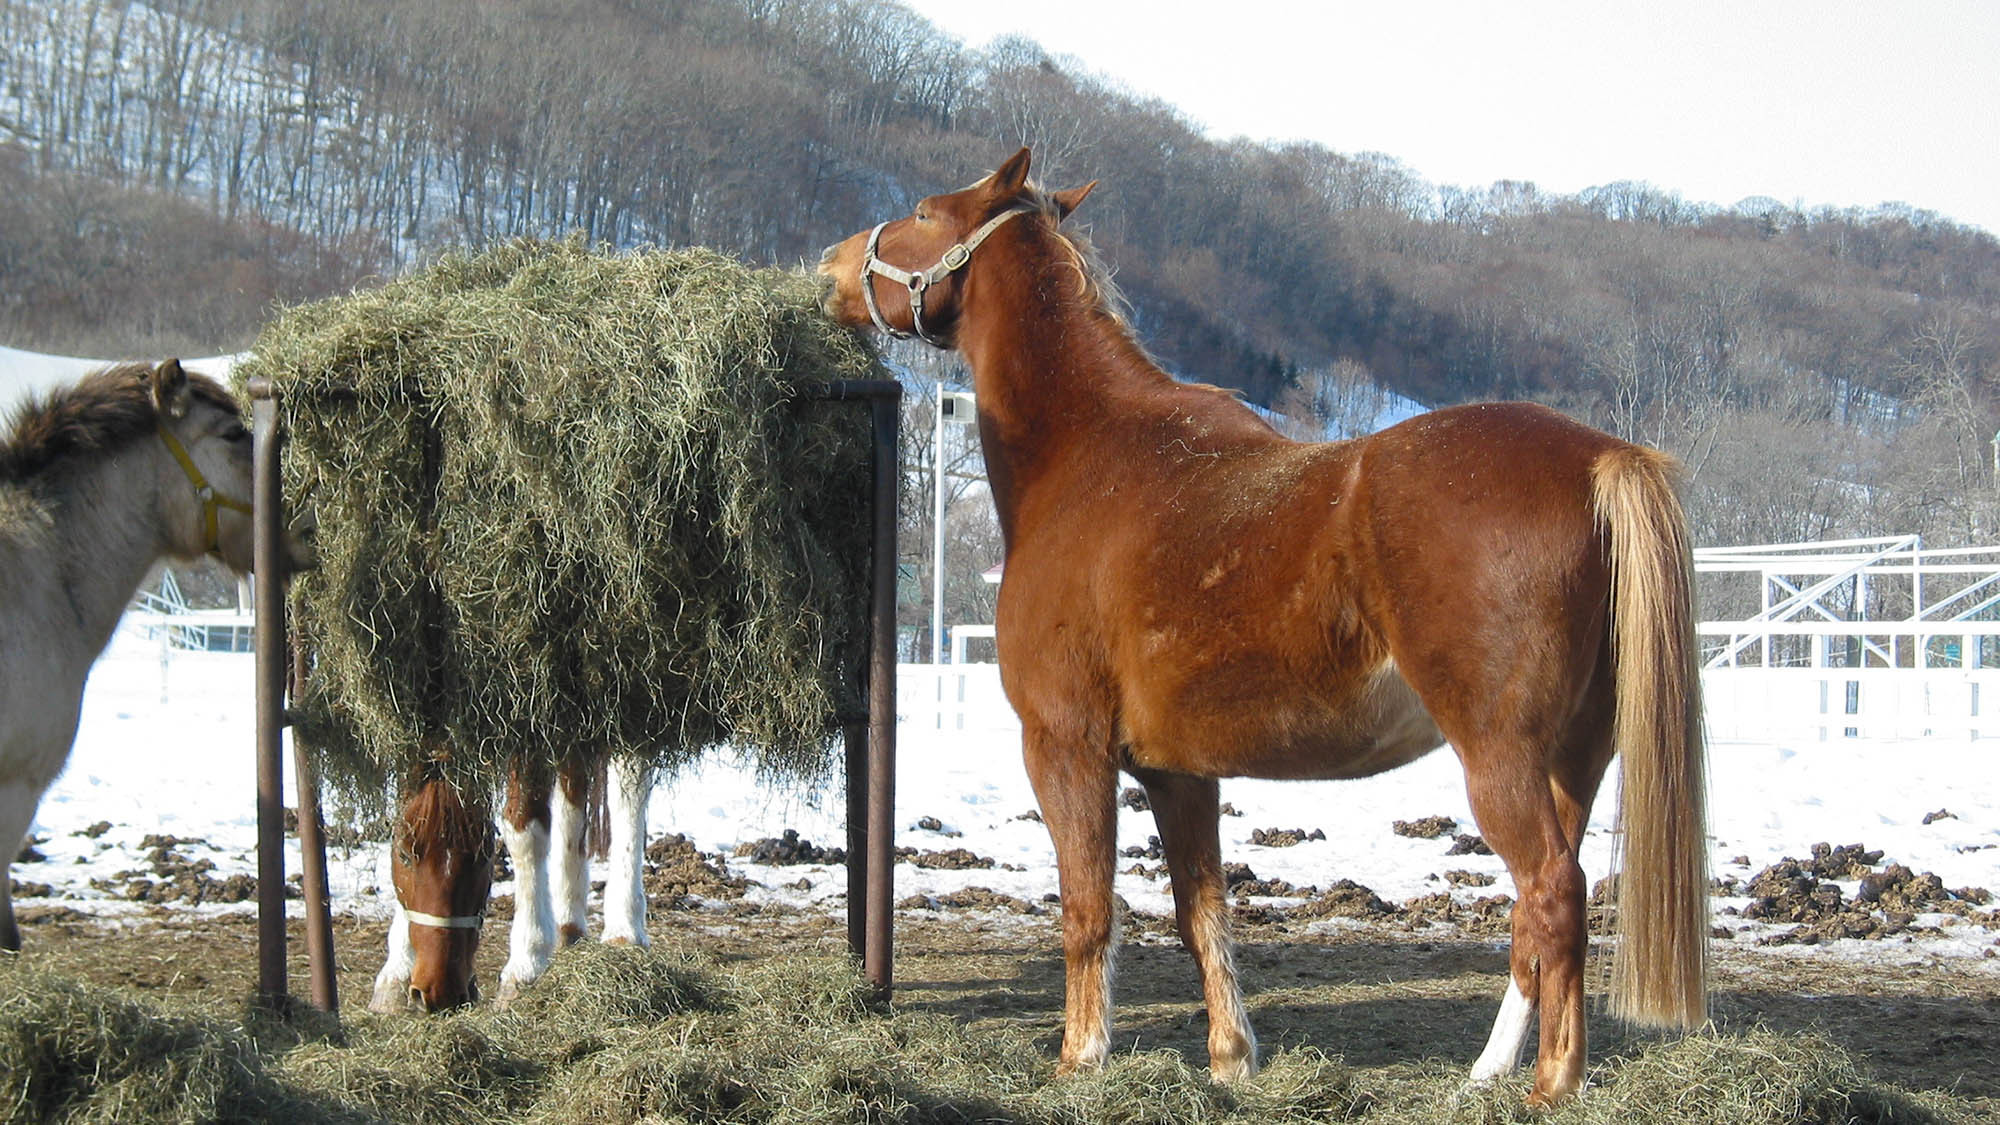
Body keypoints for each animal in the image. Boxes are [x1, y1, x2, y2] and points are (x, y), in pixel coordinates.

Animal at [370, 748, 656, 1012]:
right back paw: (569, 927)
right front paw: (396, 971)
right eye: (404, 854)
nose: (441, 994)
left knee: (628, 788)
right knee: (573, 789)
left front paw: (526, 964)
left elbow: (525, 832)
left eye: (485, 853)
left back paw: (624, 931)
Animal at [812, 149, 1704, 1104]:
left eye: (923, 211)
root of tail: (1599, 456)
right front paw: (1232, 1056)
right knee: (1541, 915)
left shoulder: (1065, 745)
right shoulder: (1178, 770)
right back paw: (1488, 1070)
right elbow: (1201, 911)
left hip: (1502, 760)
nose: (829, 267)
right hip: (1575, 759)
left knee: (1553, 893)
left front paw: (1080, 1059)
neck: (1090, 455)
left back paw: (1550, 1084)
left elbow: (1089, 909)